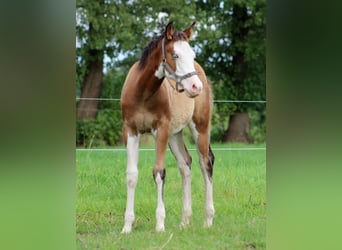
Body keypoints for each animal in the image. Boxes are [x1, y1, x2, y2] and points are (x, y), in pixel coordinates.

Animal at [120, 21, 214, 232]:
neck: (143, 93)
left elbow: (159, 172)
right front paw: (127, 226)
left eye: (193, 54)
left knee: (206, 163)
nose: (195, 87)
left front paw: (160, 225)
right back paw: (184, 221)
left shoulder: (160, 131)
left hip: (200, 126)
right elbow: (131, 175)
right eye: (175, 55)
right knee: (185, 164)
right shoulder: (131, 131)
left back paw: (208, 219)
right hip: (175, 134)